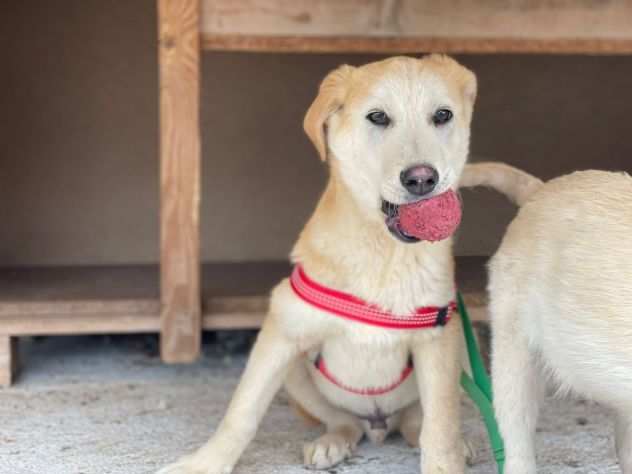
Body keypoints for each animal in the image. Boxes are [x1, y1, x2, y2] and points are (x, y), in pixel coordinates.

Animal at [159, 53, 478, 472]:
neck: (383, 254)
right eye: (378, 117)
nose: (422, 179)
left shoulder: (438, 339)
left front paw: (446, 459)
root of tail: (380, 424)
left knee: (418, 423)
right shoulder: (281, 331)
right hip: (298, 374)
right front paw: (205, 462)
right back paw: (331, 443)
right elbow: (241, 413)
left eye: (442, 115)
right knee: (344, 422)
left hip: (464, 358)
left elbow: (439, 428)